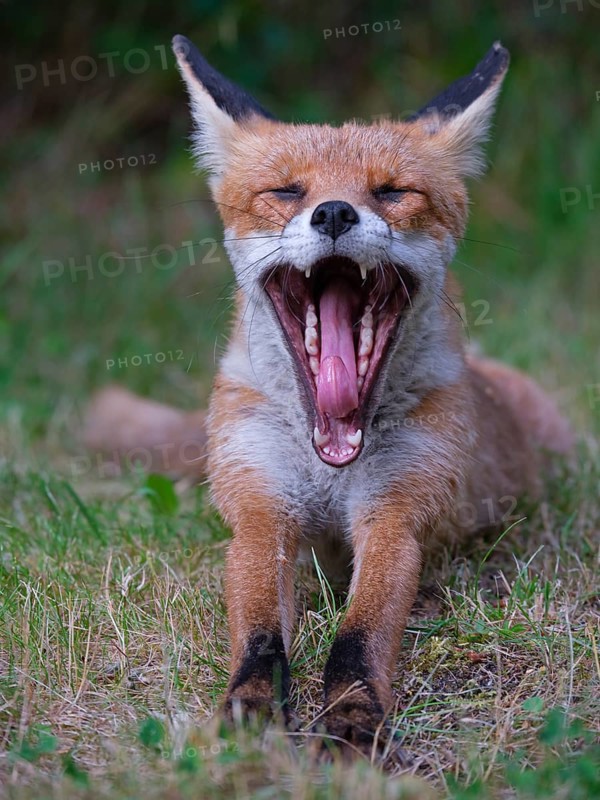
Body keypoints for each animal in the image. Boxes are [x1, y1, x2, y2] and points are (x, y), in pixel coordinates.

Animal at [84, 37, 573, 753]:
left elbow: (361, 634)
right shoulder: (261, 513)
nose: (336, 212)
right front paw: (251, 708)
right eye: (288, 190)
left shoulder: (396, 518)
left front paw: (352, 716)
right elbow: (260, 634)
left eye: (392, 192)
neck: (331, 458)